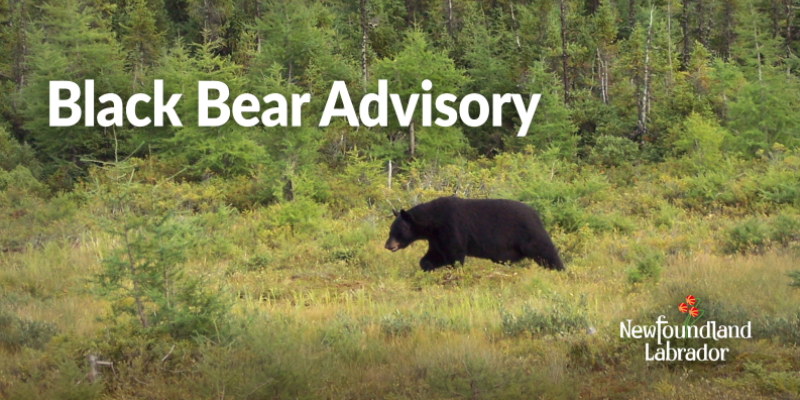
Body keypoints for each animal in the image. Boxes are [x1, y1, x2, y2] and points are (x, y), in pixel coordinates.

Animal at [384, 196, 564, 271]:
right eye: (390, 230)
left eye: (399, 230)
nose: (387, 245)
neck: (433, 221)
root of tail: (535, 213)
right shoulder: (437, 238)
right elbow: (435, 255)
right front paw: (427, 267)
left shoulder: (451, 228)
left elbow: (455, 255)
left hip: (529, 233)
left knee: (546, 251)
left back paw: (559, 269)